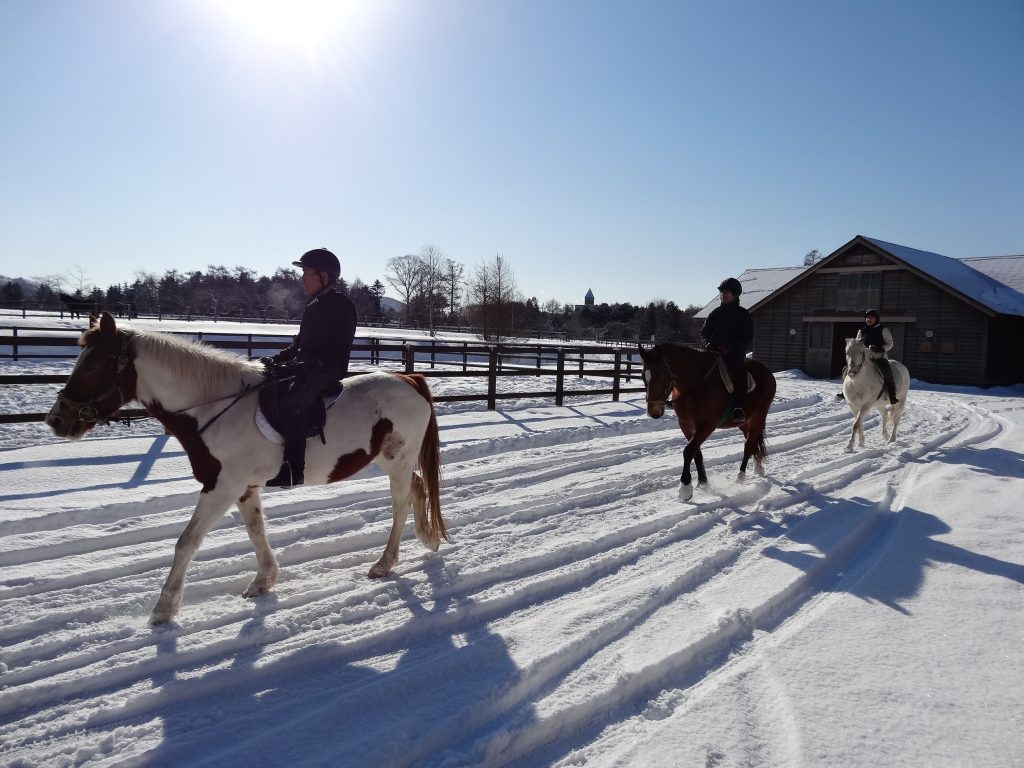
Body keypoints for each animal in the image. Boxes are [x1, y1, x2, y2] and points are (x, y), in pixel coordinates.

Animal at [45, 312, 449, 624]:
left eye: (93, 364)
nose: (56, 420)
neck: (211, 407)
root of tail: (409, 379)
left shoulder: (220, 486)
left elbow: (186, 541)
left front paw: (163, 609)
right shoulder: (242, 487)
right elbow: (256, 531)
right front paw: (263, 581)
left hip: (398, 461)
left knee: (399, 505)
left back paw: (385, 563)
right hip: (389, 459)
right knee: (417, 488)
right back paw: (427, 539)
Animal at [637, 342, 777, 501]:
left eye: (661, 374)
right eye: (643, 376)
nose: (653, 412)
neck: (696, 384)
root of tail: (766, 372)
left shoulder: (707, 426)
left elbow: (688, 451)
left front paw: (685, 488)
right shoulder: (686, 426)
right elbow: (696, 452)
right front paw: (703, 482)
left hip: (758, 417)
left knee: (748, 446)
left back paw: (740, 477)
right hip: (744, 422)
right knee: (751, 441)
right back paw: (758, 467)